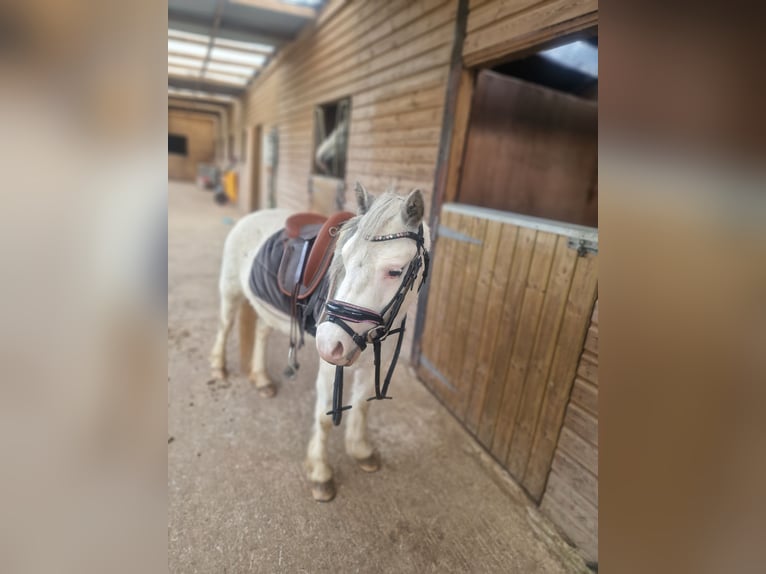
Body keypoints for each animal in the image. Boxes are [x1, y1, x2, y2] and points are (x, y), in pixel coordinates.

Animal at [209, 182, 431, 501]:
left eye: (396, 271)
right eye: (344, 258)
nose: (330, 343)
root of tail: (249, 218)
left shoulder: (374, 360)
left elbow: (362, 405)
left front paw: (361, 451)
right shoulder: (331, 365)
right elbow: (325, 418)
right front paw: (320, 473)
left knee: (262, 334)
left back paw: (262, 379)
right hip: (231, 291)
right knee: (225, 327)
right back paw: (218, 368)